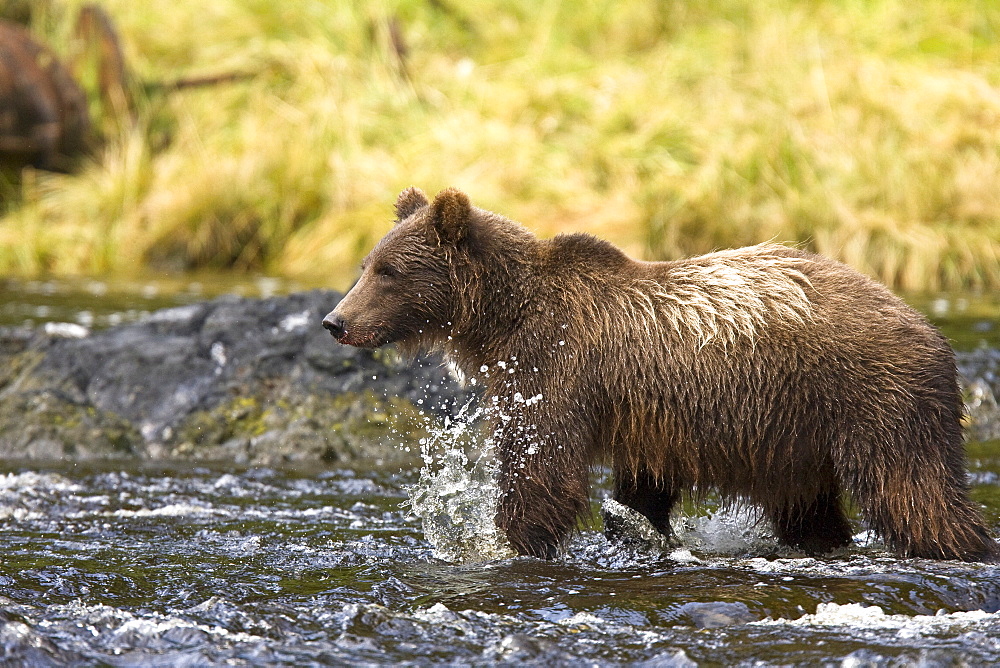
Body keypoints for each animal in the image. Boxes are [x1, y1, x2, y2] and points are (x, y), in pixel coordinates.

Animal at [324, 185, 996, 560]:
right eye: (366, 264)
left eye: (389, 271)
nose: (336, 320)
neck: (503, 319)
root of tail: (930, 328)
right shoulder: (646, 421)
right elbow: (641, 488)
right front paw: (636, 528)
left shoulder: (559, 368)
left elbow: (542, 467)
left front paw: (510, 542)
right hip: (798, 437)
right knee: (811, 509)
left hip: (873, 397)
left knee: (914, 491)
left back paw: (961, 546)